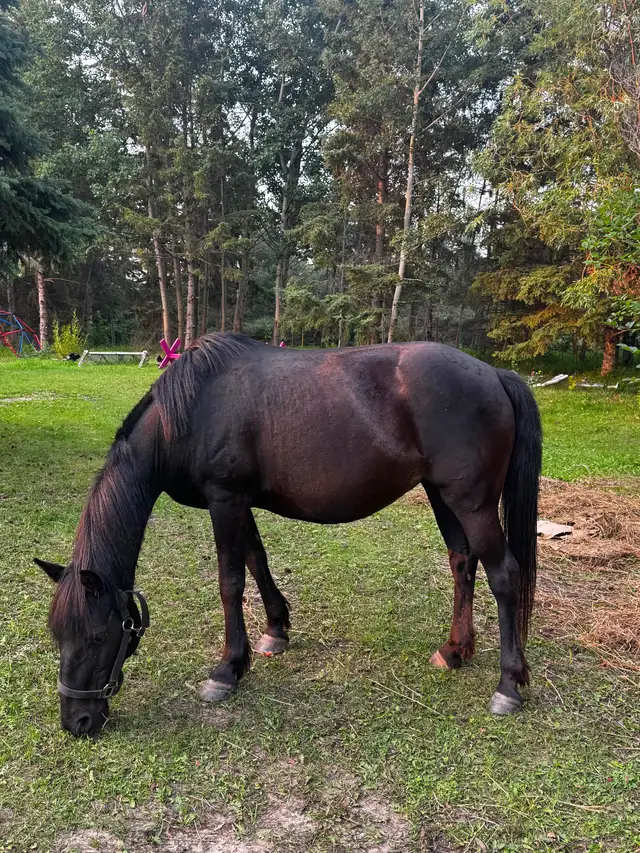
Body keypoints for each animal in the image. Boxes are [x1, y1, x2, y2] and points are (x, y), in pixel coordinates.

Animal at [36, 333, 542, 737]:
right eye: (58, 636)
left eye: (97, 637)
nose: (77, 722)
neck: (190, 411)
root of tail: (494, 374)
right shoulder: (240, 502)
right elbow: (257, 562)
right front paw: (275, 632)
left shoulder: (225, 500)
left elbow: (230, 582)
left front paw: (227, 670)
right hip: (443, 495)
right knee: (462, 561)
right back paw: (455, 650)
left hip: (473, 503)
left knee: (503, 575)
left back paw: (508, 685)